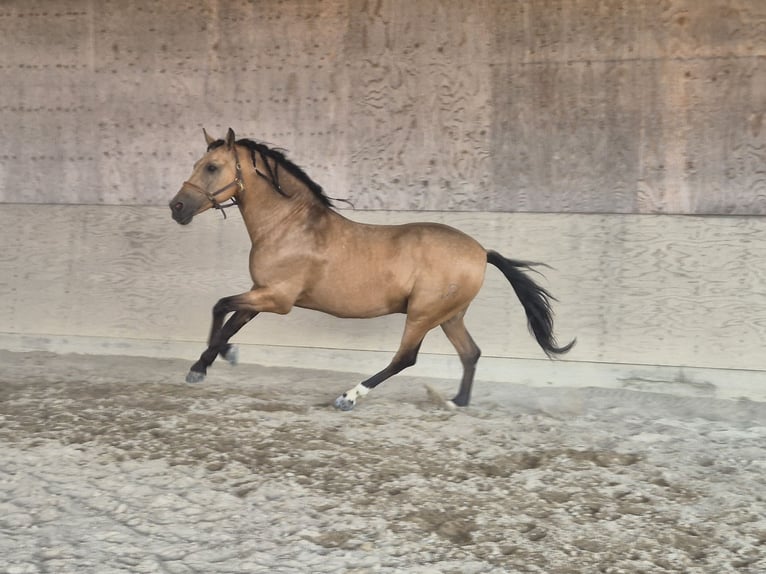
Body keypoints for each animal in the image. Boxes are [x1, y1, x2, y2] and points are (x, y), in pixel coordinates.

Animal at [169, 128, 574, 410]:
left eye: (212, 167)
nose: (177, 207)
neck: (289, 225)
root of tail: (480, 252)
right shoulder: (261, 291)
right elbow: (230, 319)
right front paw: (212, 360)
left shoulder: (277, 298)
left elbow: (221, 306)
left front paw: (209, 363)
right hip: (449, 316)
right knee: (470, 353)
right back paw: (455, 402)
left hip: (423, 314)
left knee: (405, 358)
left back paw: (349, 397)